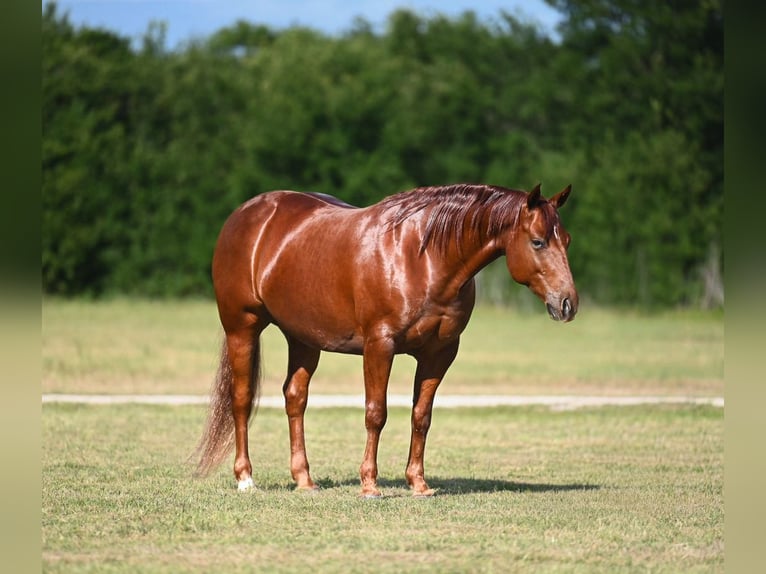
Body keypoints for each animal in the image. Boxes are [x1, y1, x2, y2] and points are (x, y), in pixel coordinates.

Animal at [193, 182, 578, 497]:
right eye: (538, 241)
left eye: (567, 240)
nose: (567, 303)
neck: (423, 258)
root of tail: (248, 213)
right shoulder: (380, 346)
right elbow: (375, 413)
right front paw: (369, 485)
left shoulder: (439, 353)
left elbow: (421, 416)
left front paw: (418, 483)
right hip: (242, 327)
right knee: (242, 399)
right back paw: (245, 478)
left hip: (303, 338)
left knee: (295, 398)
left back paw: (304, 479)